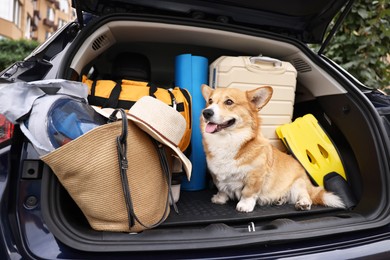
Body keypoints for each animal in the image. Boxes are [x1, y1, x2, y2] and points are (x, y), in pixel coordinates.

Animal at [201, 84, 344, 212]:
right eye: (210, 101)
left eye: (229, 102)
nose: (206, 112)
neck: (227, 140)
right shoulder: (217, 175)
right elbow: (222, 188)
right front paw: (219, 199)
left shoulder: (256, 176)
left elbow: (248, 193)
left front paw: (244, 206)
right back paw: (280, 199)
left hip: (298, 184)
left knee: (306, 195)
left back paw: (303, 203)